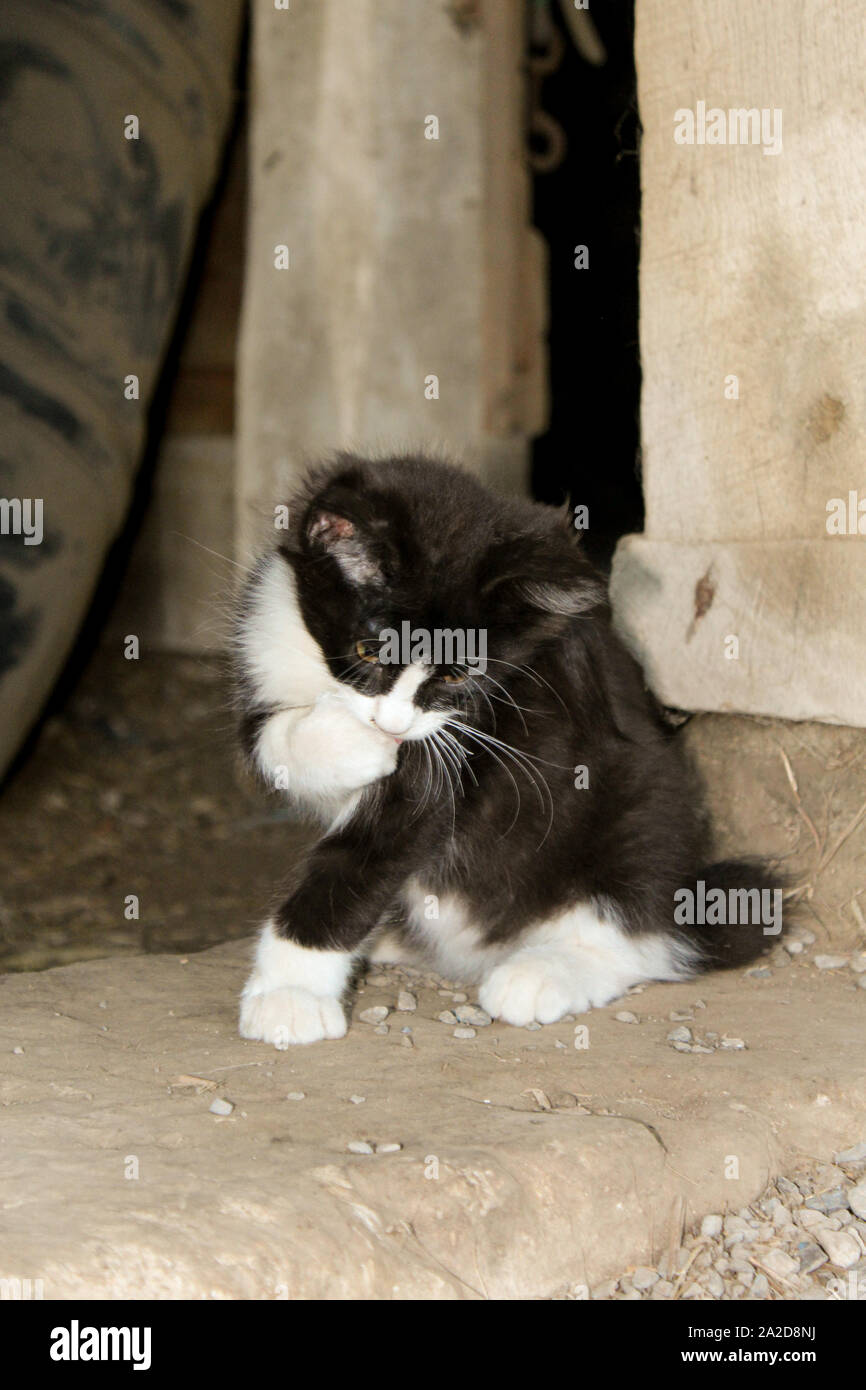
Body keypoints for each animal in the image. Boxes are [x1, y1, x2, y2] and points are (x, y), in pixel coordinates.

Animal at [234, 453, 778, 1045]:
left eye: (456, 675)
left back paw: (542, 972)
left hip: (639, 808)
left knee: (645, 931)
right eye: (369, 650)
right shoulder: (265, 642)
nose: (394, 726)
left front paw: (290, 995)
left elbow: (363, 857)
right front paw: (346, 742)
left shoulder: (459, 748)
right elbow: (267, 737)